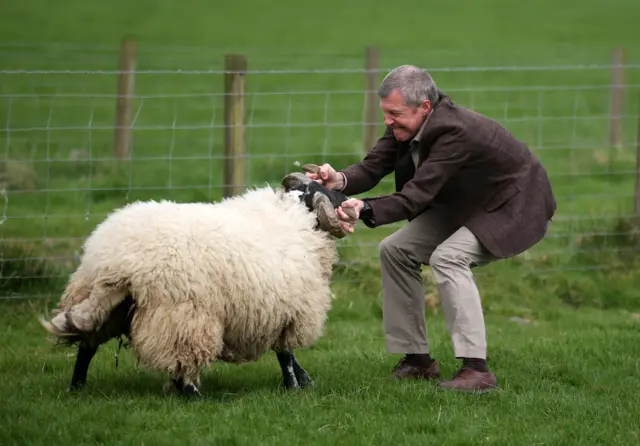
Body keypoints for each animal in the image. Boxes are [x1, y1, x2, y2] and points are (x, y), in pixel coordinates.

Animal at [38, 166, 356, 396]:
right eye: (325, 191)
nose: (347, 201)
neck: (293, 217)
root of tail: (118, 265)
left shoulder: (274, 311)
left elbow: (288, 356)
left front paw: (305, 381)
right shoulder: (286, 310)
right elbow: (285, 355)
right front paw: (294, 386)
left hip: (103, 303)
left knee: (86, 347)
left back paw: (76, 388)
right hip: (183, 315)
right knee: (181, 360)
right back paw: (193, 395)